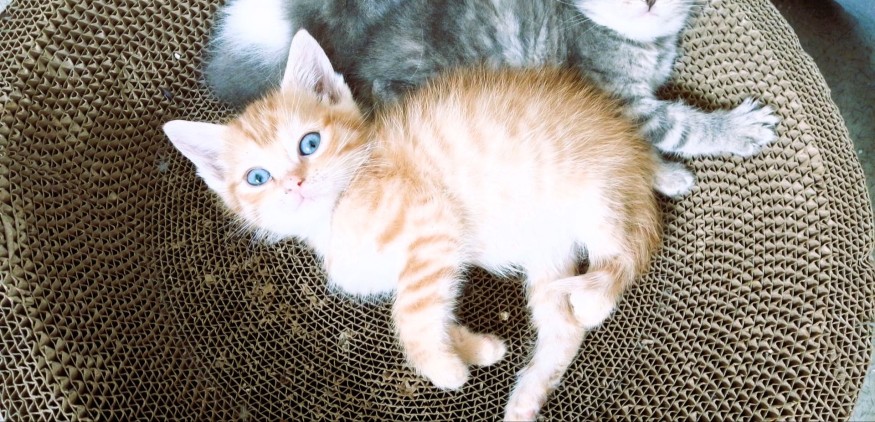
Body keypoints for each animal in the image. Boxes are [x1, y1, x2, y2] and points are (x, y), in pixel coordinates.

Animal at [166, 30, 662, 421]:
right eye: (257, 177)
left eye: (310, 143)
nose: (294, 185)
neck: (335, 215)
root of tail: (633, 151)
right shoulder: (419, 266)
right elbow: (428, 308)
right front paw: (473, 348)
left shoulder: (433, 223)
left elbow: (407, 311)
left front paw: (445, 368)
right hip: (549, 251)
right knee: (563, 329)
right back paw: (526, 398)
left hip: (596, 196)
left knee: (625, 254)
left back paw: (595, 300)